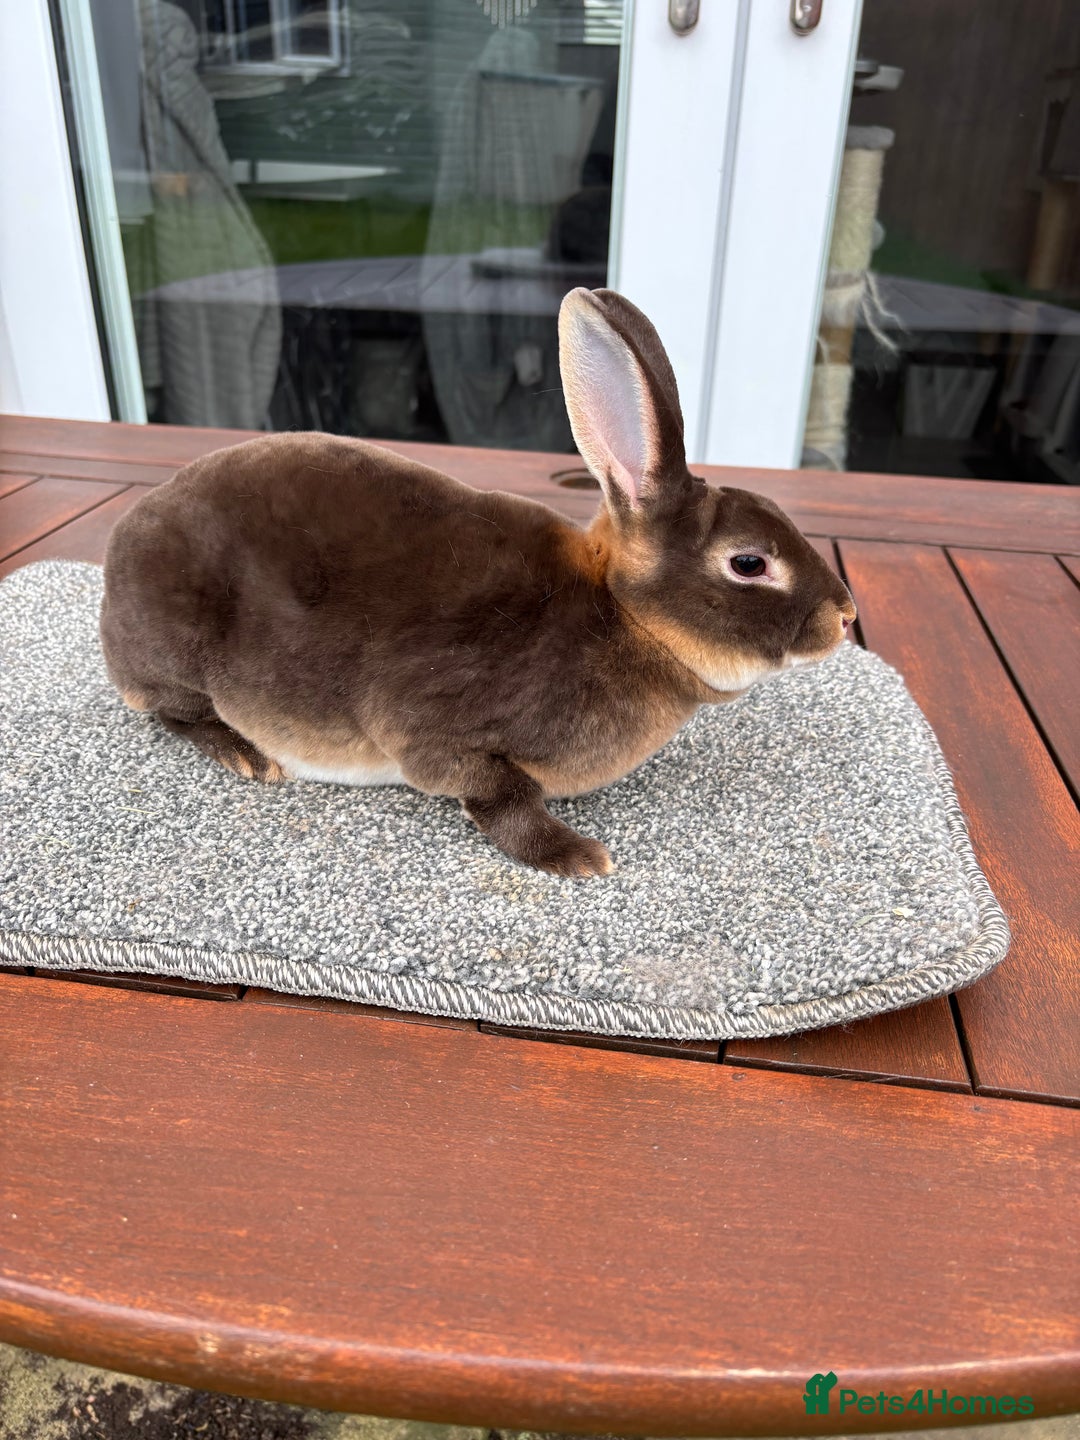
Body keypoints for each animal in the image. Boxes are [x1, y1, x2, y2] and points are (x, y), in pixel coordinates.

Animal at [101, 288, 856, 877]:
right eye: (749, 563)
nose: (845, 616)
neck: (621, 616)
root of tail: (121, 549)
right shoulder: (436, 729)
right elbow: (501, 795)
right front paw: (576, 857)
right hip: (179, 654)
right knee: (173, 711)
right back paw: (245, 755)